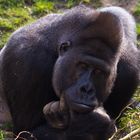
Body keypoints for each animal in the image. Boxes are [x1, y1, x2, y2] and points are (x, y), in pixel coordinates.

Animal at [0, 5, 140, 140]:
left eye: (98, 71)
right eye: (83, 65)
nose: (86, 89)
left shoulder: (130, 71)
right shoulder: (27, 61)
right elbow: (25, 132)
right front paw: (92, 125)